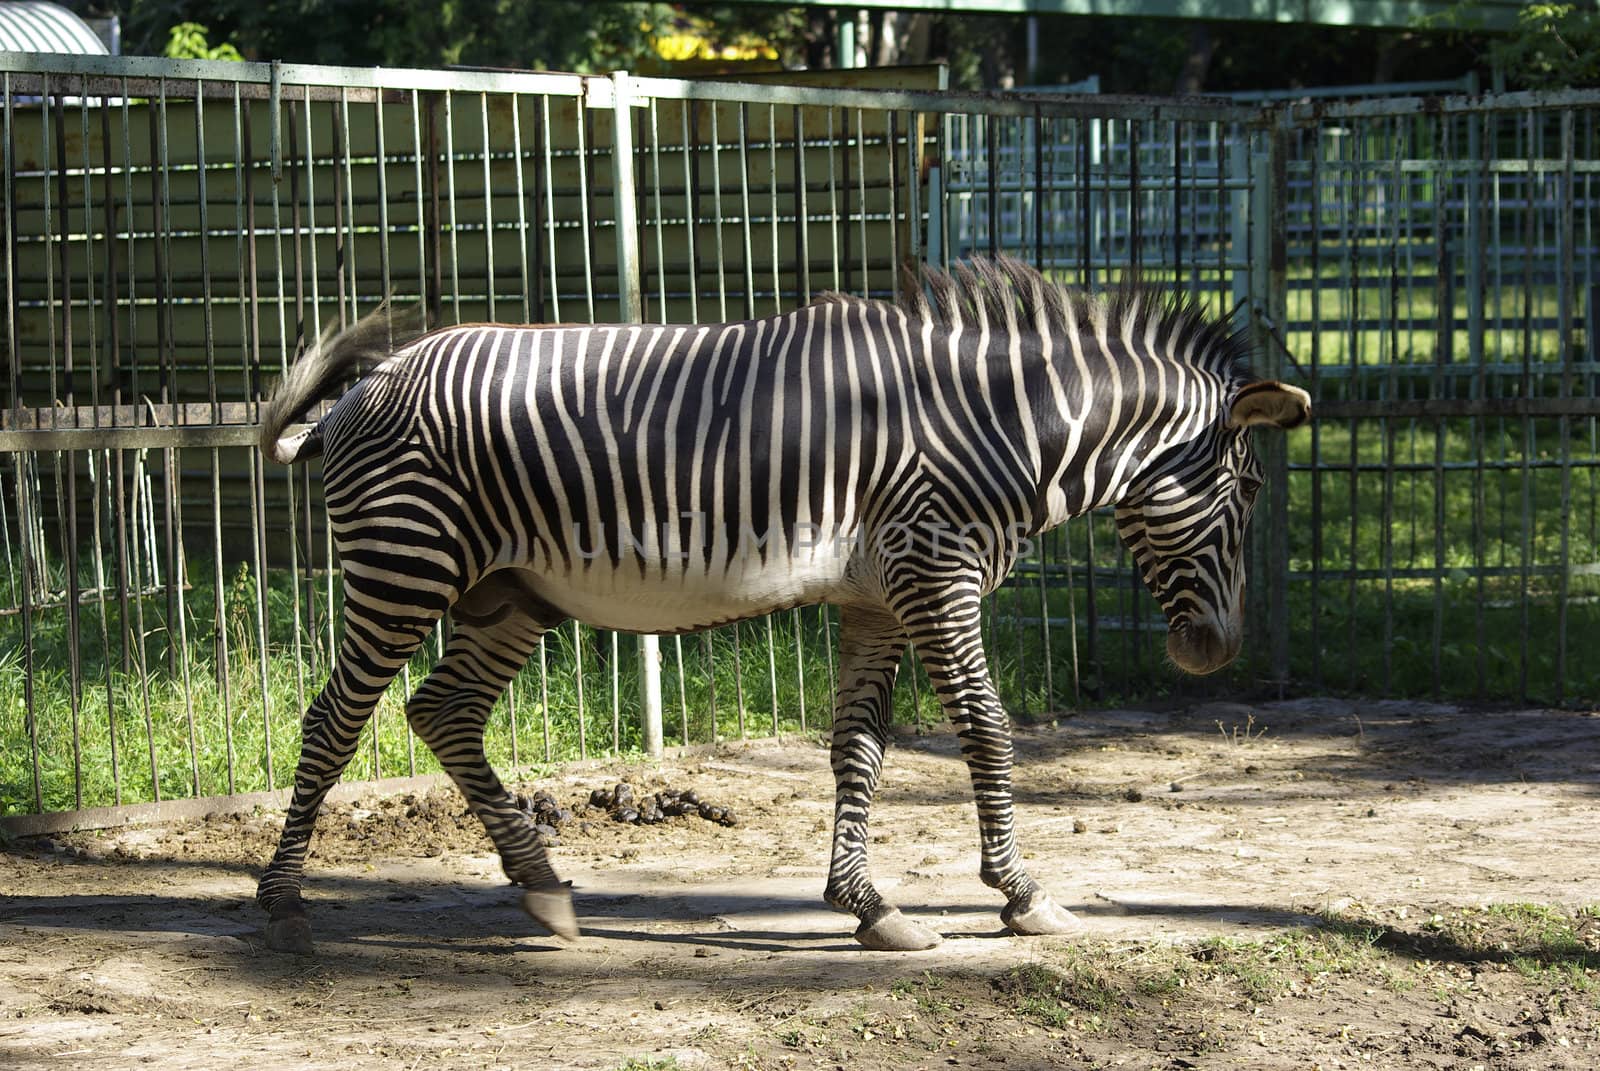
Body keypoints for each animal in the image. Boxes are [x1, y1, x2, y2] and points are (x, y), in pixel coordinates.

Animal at [256, 259, 1312, 954]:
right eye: (1252, 490)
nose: (1216, 652)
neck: (1002, 423)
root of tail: (355, 394)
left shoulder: (880, 596)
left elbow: (859, 747)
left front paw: (867, 903)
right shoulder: (937, 571)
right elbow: (987, 728)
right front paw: (1021, 895)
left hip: (508, 592)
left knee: (442, 711)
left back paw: (544, 886)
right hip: (406, 564)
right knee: (332, 720)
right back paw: (283, 900)